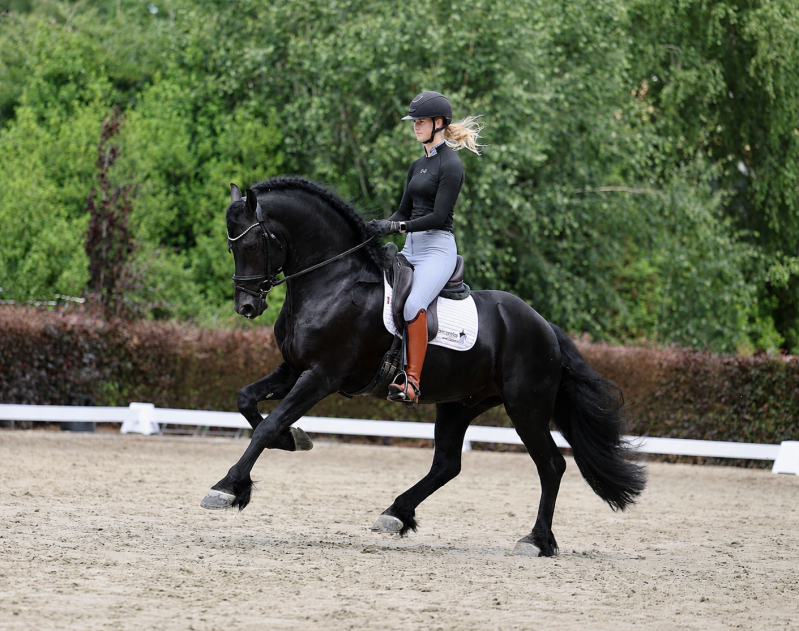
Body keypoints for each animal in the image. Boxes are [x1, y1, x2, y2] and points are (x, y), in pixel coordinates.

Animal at [201, 176, 646, 557]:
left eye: (252, 243)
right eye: (232, 246)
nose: (247, 307)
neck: (333, 281)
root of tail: (544, 326)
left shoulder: (321, 376)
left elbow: (268, 424)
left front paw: (227, 487)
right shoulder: (293, 369)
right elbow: (246, 402)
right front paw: (294, 440)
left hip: (526, 407)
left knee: (551, 465)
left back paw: (537, 540)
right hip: (460, 404)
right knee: (448, 464)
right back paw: (396, 514)